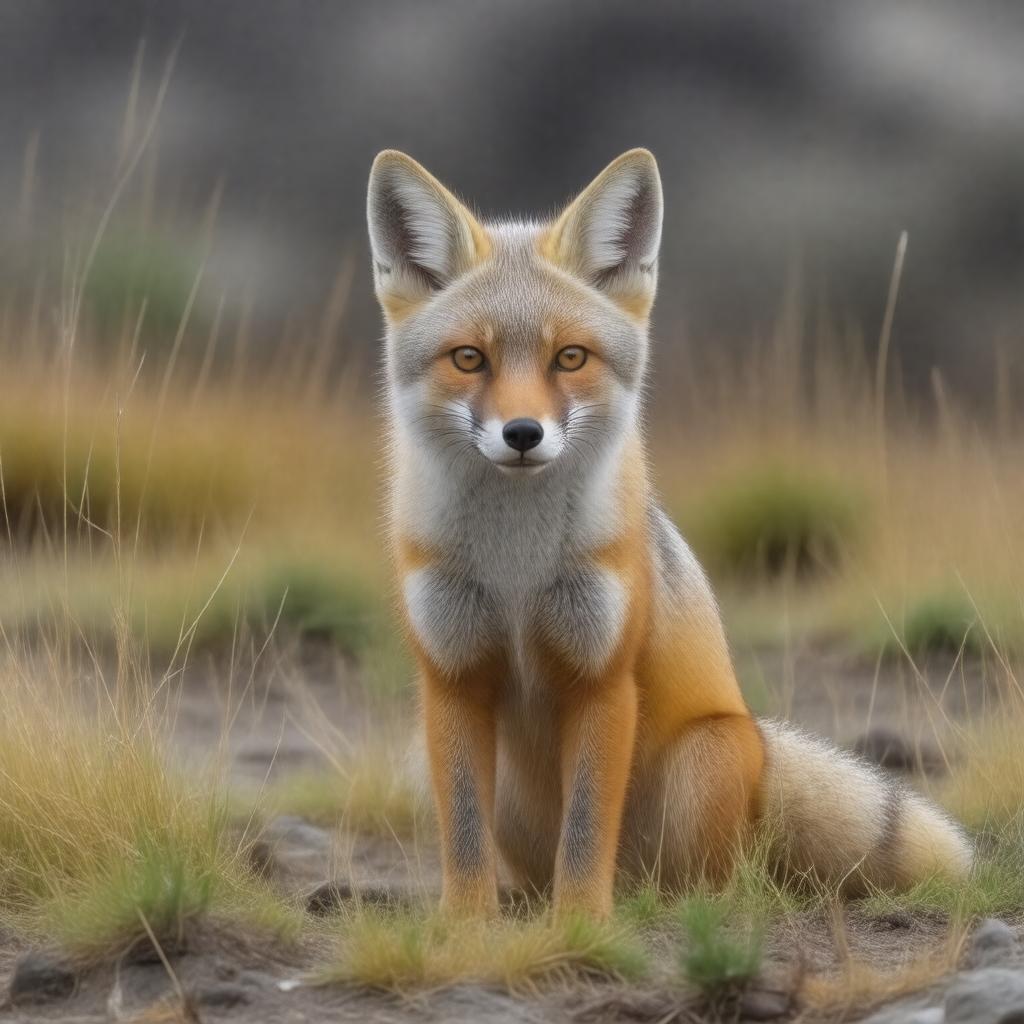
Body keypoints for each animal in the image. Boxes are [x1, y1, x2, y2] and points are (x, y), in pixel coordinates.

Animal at [365, 147, 973, 918]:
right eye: (469, 359)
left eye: (570, 358)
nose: (524, 434)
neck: (516, 568)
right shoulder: (451, 680)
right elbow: (465, 842)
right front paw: (467, 928)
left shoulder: (602, 678)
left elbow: (585, 832)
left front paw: (583, 926)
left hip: (704, 757)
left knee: (707, 887)